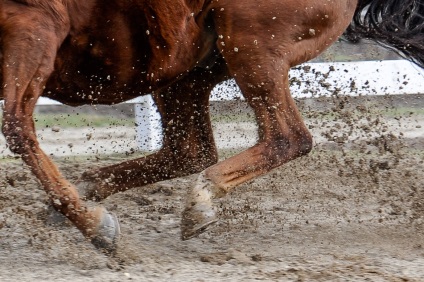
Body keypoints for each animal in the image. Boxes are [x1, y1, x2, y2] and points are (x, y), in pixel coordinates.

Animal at [0, 0, 424, 251]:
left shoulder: (34, 23)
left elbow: (17, 128)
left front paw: (95, 227)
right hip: (185, 68)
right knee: (191, 152)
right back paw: (87, 192)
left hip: (252, 44)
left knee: (288, 138)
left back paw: (199, 200)